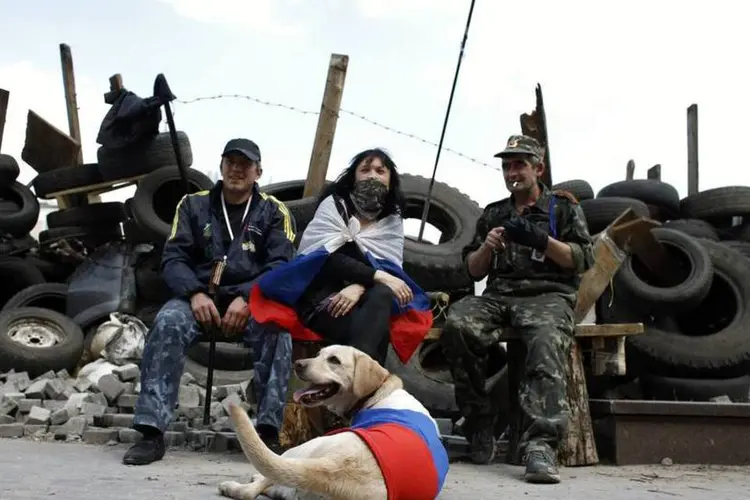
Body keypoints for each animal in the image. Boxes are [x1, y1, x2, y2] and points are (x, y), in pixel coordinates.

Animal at [220, 346, 450, 498]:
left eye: (334, 360)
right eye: (318, 354)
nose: (298, 364)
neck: (377, 393)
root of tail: (334, 472)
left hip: (302, 448)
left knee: (254, 489)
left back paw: (236, 486)